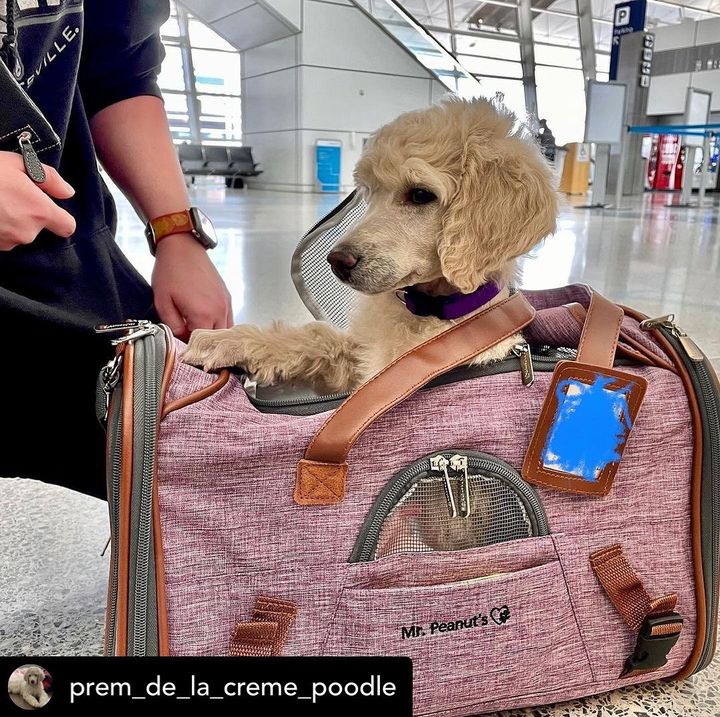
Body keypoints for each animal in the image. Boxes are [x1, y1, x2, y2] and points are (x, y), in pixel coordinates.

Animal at [184, 98, 556, 392]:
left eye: (420, 194)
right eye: (370, 193)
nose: (336, 261)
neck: (425, 311)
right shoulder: (358, 365)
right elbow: (317, 337)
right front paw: (223, 341)